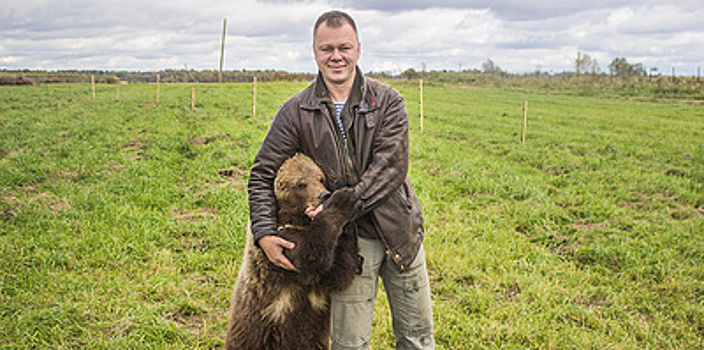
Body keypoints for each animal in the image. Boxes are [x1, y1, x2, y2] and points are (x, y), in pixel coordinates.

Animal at [227, 154, 364, 350]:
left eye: (320, 178)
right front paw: (344, 201)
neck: (296, 217)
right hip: (253, 331)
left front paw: (349, 224)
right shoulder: (277, 246)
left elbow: (341, 272)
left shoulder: (323, 281)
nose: (324, 195)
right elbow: (309, 253)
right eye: (301, 184)